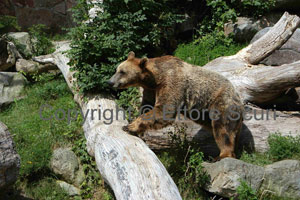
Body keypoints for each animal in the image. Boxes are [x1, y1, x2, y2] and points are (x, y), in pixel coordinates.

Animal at [108, 52, 244, 159]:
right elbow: (147, 106)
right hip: (204, 113)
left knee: (222, 129)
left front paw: (130, 127)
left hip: (221, 102)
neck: (155, 79)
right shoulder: (151, 90)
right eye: (117, 70)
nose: (110, 82)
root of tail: (239, 98)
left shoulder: (171, 82)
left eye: (122, 72)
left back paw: (223, 155)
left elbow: (165, 109)